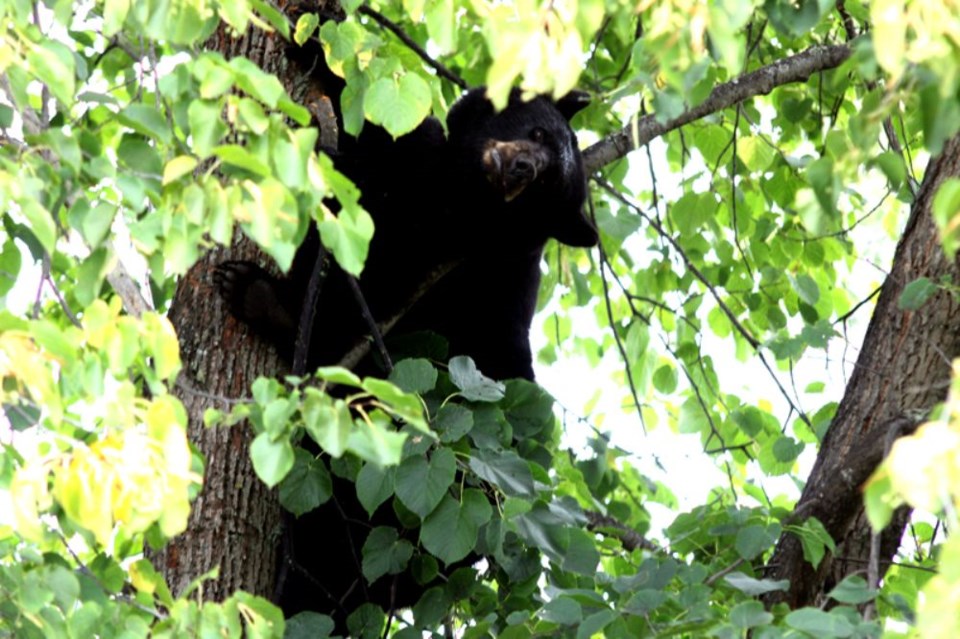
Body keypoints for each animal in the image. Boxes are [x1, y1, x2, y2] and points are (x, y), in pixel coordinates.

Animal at [214, 87, 596, 632]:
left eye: (546, 185)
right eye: (538, 131)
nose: (523, 167)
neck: (459, 191)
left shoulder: (453, 256)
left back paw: (261, 298)